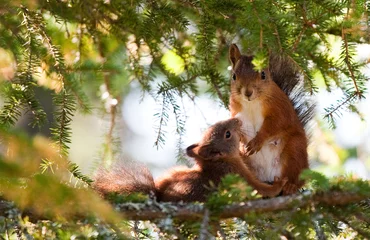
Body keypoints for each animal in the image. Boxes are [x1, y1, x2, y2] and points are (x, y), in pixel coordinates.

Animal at [92, 119, 286, 202]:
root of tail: (159, 196)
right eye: (227, 134)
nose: (237, 120)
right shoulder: (235, 175)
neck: (218, 162)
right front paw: (279, 184)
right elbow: (258, 189)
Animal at [228, 44, 312, 196]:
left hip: (295, 150)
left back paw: (290, 186)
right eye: (234, 76)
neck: (251, 104)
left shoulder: (280, 109)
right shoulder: (235, 114)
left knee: (297, 176)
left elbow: (274, 125)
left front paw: (257, 142)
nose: (248, 92)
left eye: (263, 75)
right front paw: (241, 143)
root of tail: (269, 177)